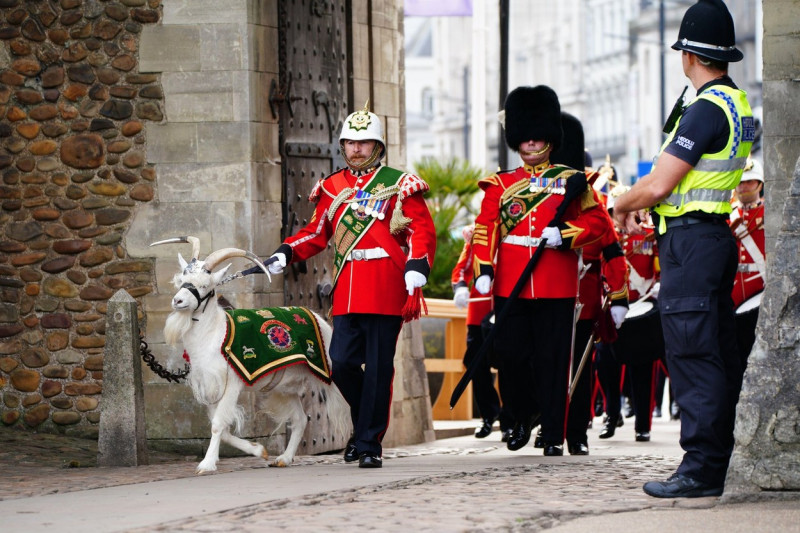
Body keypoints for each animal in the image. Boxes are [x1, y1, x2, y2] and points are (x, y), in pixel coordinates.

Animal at [152, 235, 350, 472]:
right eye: (182, 280)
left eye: (205, 285)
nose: (178, 301)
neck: (215, 333)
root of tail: (318, 318)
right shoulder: (210, 386)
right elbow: (221, 428)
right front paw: (258, 450)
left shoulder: (232, 383)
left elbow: (218, 425)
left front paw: (206, 464)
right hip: (285, 388)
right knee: (301, 419)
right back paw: (284, 458)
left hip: (330, 372)